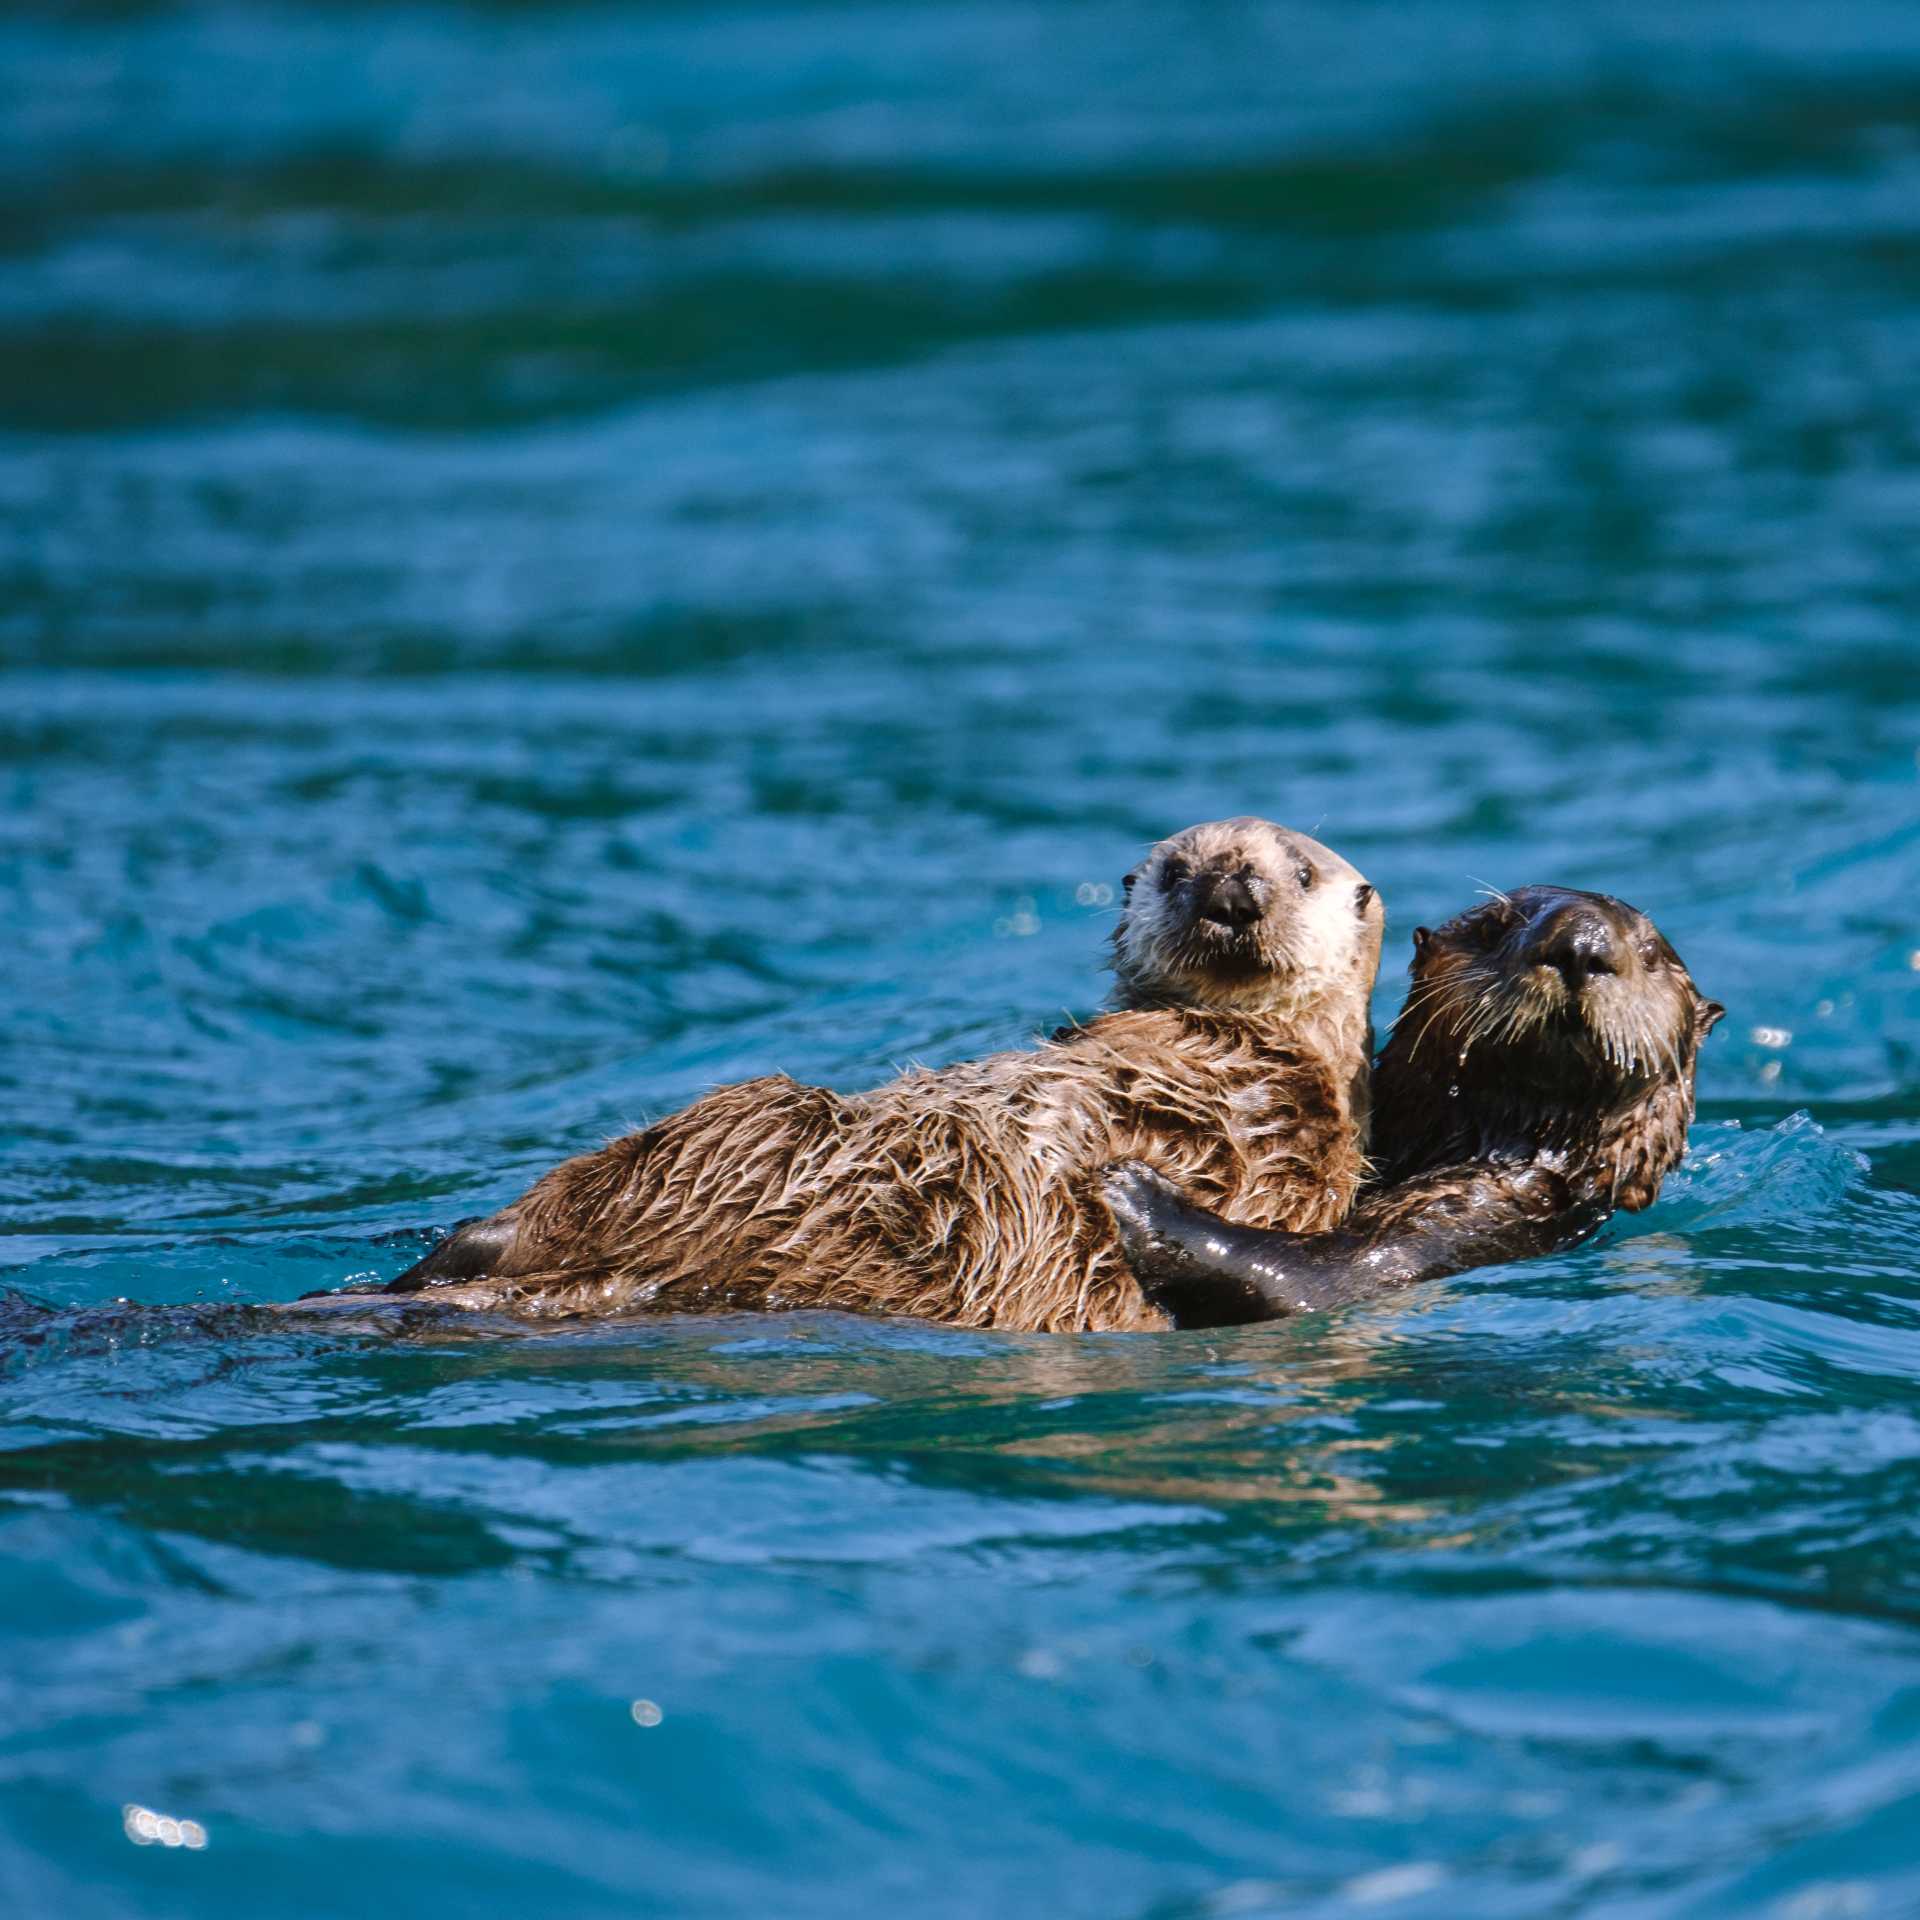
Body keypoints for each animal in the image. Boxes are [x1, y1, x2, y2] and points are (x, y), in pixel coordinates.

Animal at [1101, 886, 1724, 1327]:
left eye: (1650, 953)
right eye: (1495, 926)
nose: (1582, 944)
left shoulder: (1471, 1223)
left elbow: (1301, 1279)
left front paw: (1137, 1193)